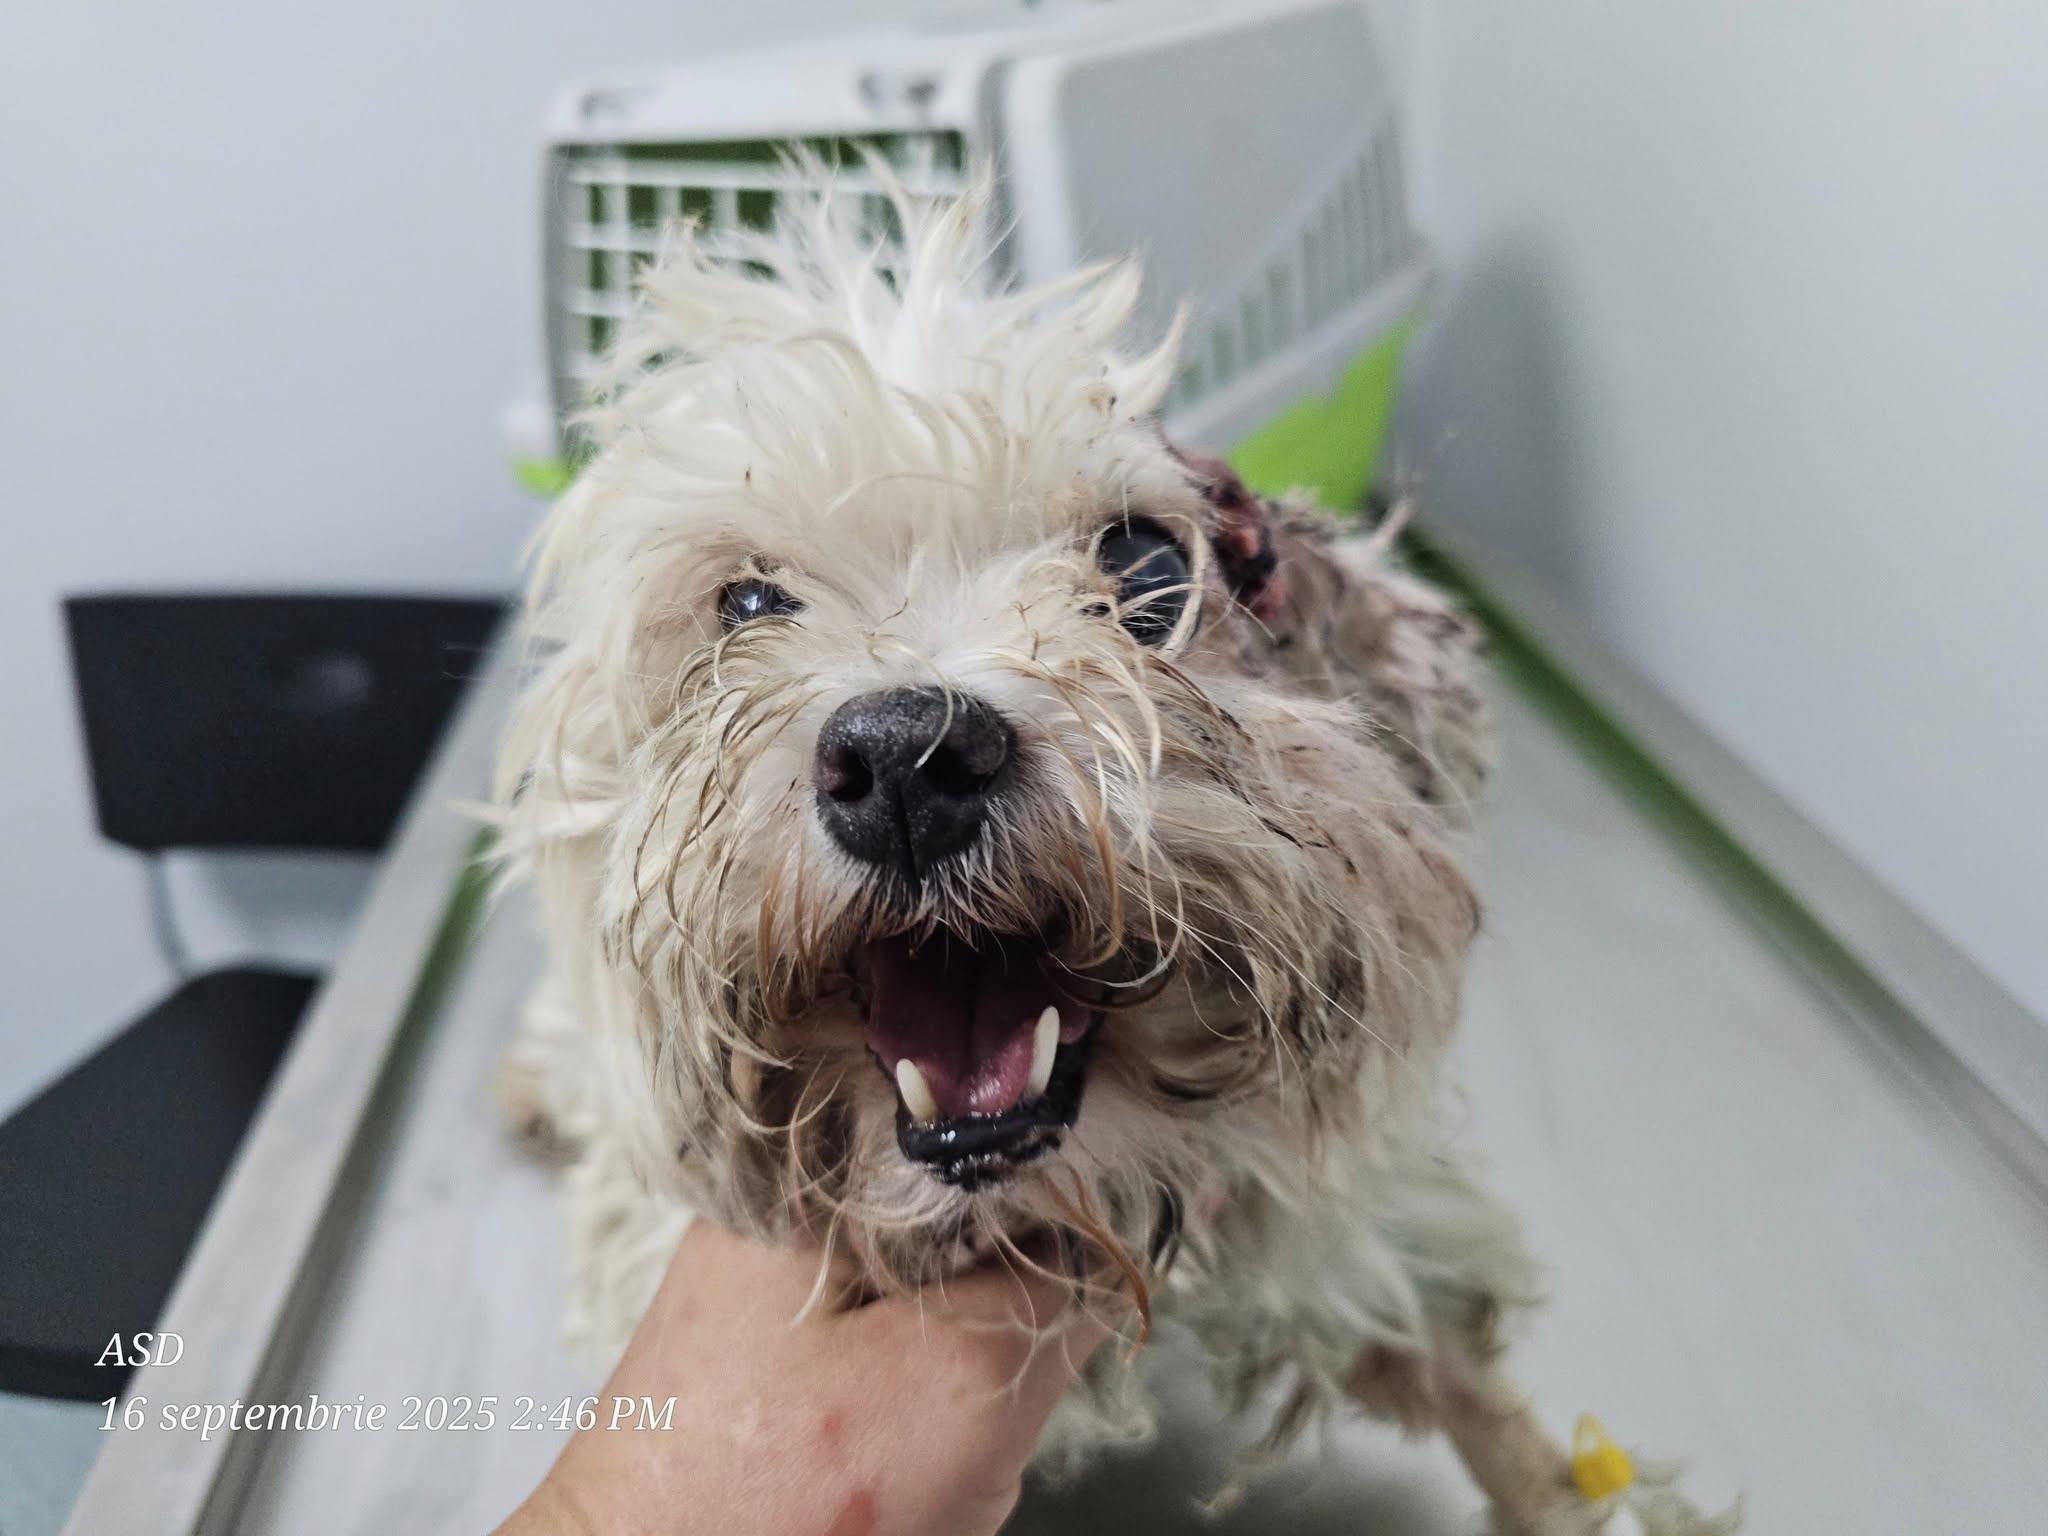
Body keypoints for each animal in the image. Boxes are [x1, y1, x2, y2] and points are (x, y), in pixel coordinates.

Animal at [490, 168, 1733, 1535]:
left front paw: (1561, 1493)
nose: (904, 757)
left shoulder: (1361, 1228)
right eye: (746, 604)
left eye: (1143, 565)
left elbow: (1477, 1387)